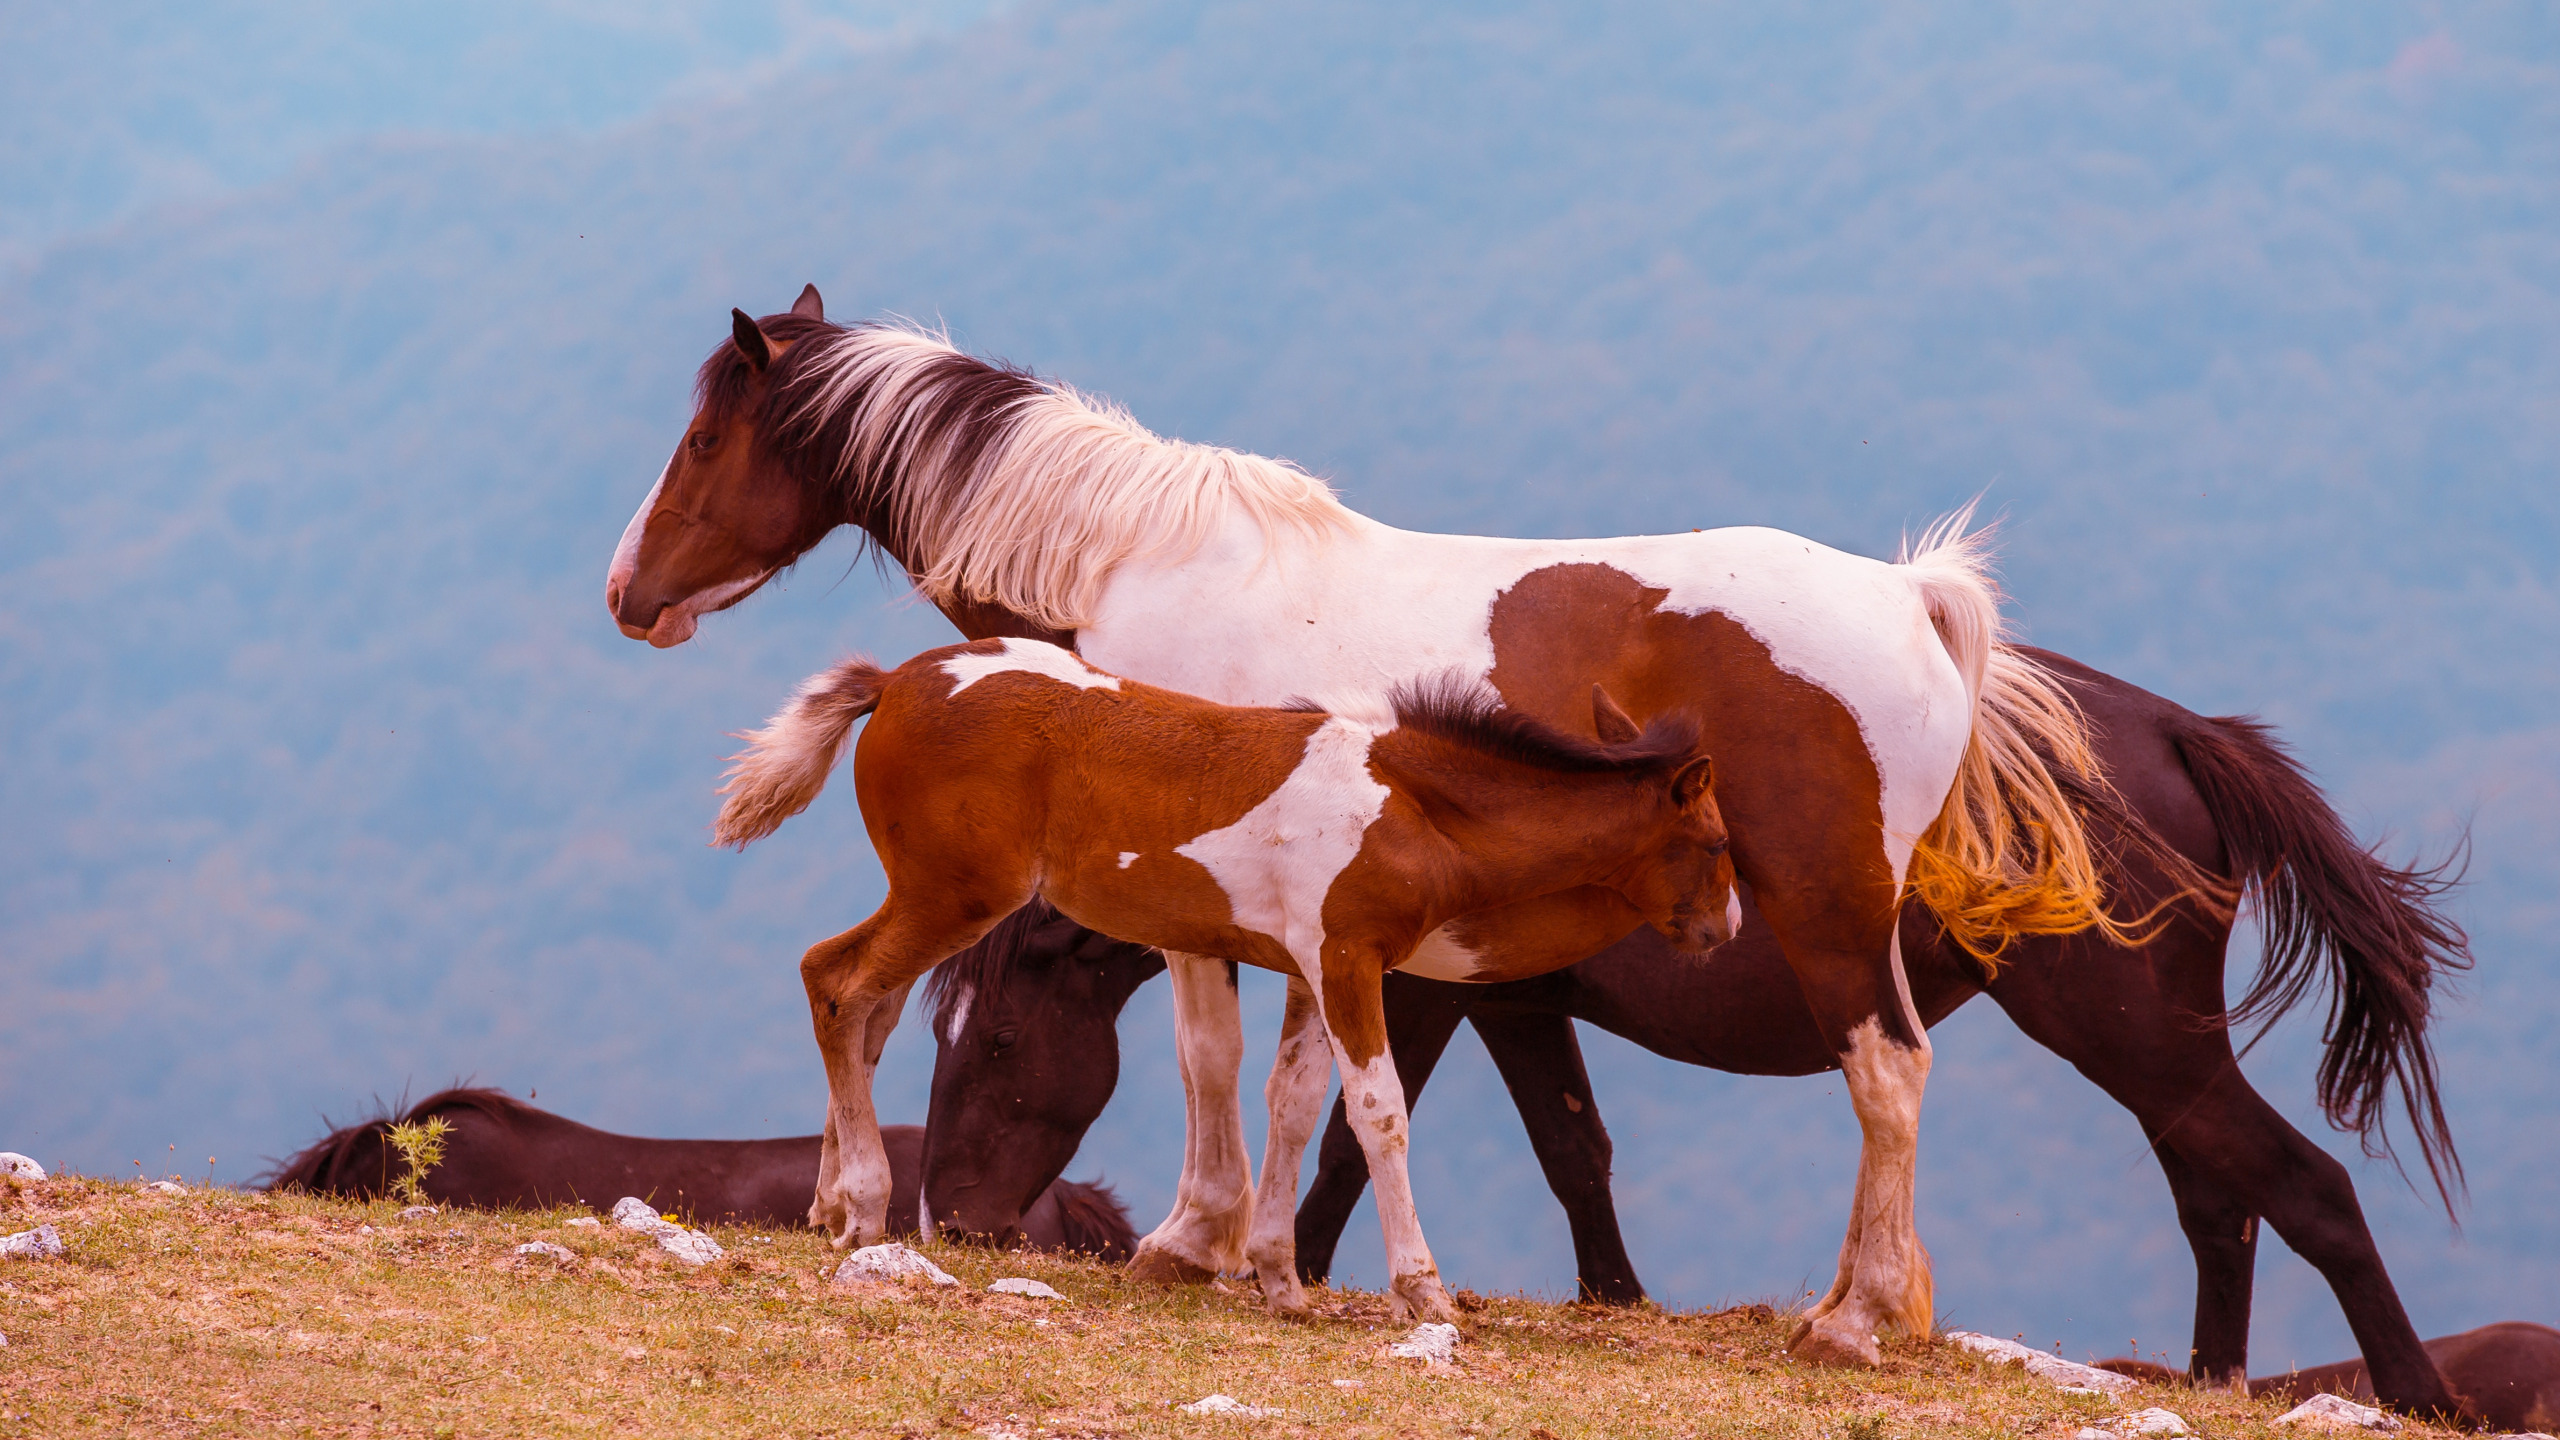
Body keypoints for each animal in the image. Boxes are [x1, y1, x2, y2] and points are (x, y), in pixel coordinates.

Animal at [711, 638, 1730, 1322]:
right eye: (1718, 845)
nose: (1724, 931)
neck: (1411, 807)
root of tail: (896, 682)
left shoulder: (1311, 968)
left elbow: (1293, 1098)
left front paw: (1278, 1279)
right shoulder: (1349, 958)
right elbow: (1378, 1112)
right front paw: (1424, 1293)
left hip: (937, 897)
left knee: (870, 1008)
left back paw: (831, 1202)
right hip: (952, 895)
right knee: (835, 980)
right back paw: (863, 1207)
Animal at [916, 655, 2478, 1414]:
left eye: (990, 1049)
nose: (963, 1213)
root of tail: (2174, 732)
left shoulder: (1423, 994)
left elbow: (1357, 1136)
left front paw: (1286, 1264)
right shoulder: (1509, 1007)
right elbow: (1572, 1150)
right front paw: (1611, 1296)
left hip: (2139, 1041)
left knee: (2303, 1189)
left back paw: (2412, 1391)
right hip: (2157, 1054)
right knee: (2226, 1202)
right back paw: (2218, 1383)